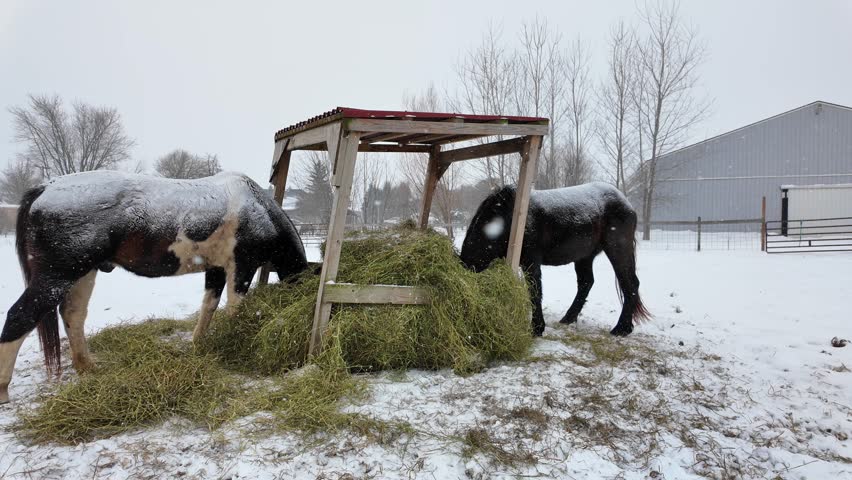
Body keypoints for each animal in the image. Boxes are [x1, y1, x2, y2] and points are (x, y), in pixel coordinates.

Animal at [0, 170, 308, 404]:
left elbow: (208, 306)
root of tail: (45, 187)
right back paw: (4, 390)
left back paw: (87, 367)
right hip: (57, 277)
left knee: (73, 315)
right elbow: (235, 310)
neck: (255, 205)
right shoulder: (241, 266)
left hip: (82, 274)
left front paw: (199, 344)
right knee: (19, 317)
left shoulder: (216, 269)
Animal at [459, 182, 650, 337]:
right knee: (586, 282)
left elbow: (535, 291)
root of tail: (625, 202)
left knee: (630, 284)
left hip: (618, 250)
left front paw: (537, 328)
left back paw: (622, 328)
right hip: (584, 256)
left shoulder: (531, 262)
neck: (510, 218)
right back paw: (569, 318)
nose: (465, 266)